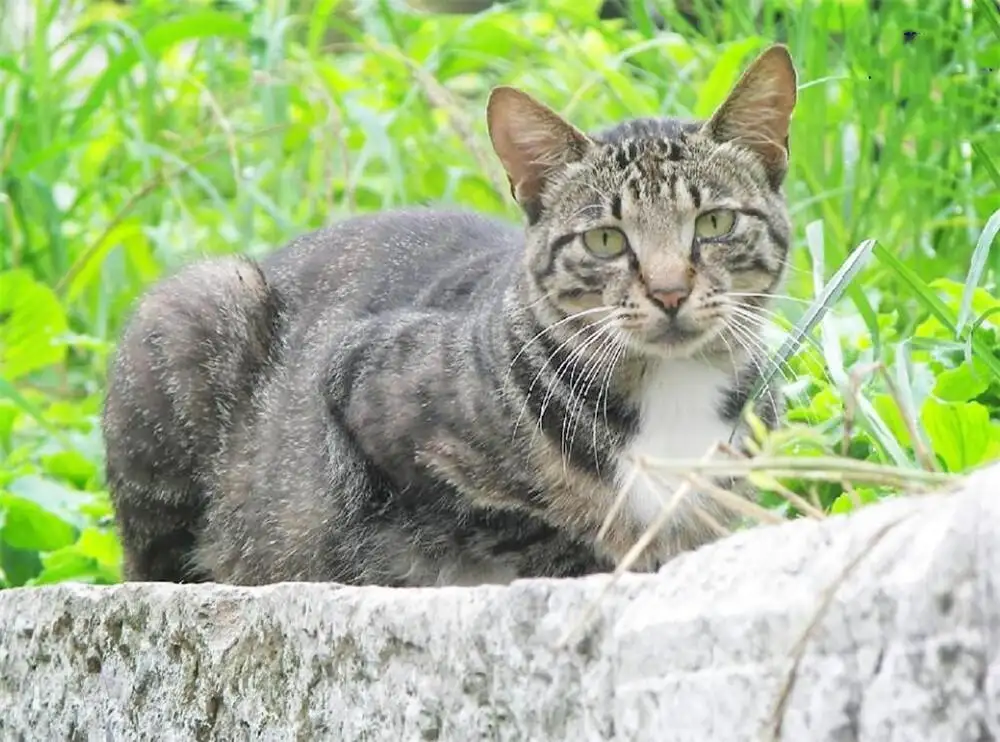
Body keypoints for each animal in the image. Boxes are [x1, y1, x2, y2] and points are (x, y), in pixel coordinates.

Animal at [103, 43, 796, 588]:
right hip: (200, 304)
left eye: (715, 223)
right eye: (605, 239)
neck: (670, 390)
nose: (670, 290)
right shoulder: (363, 390)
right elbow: (524, 525)